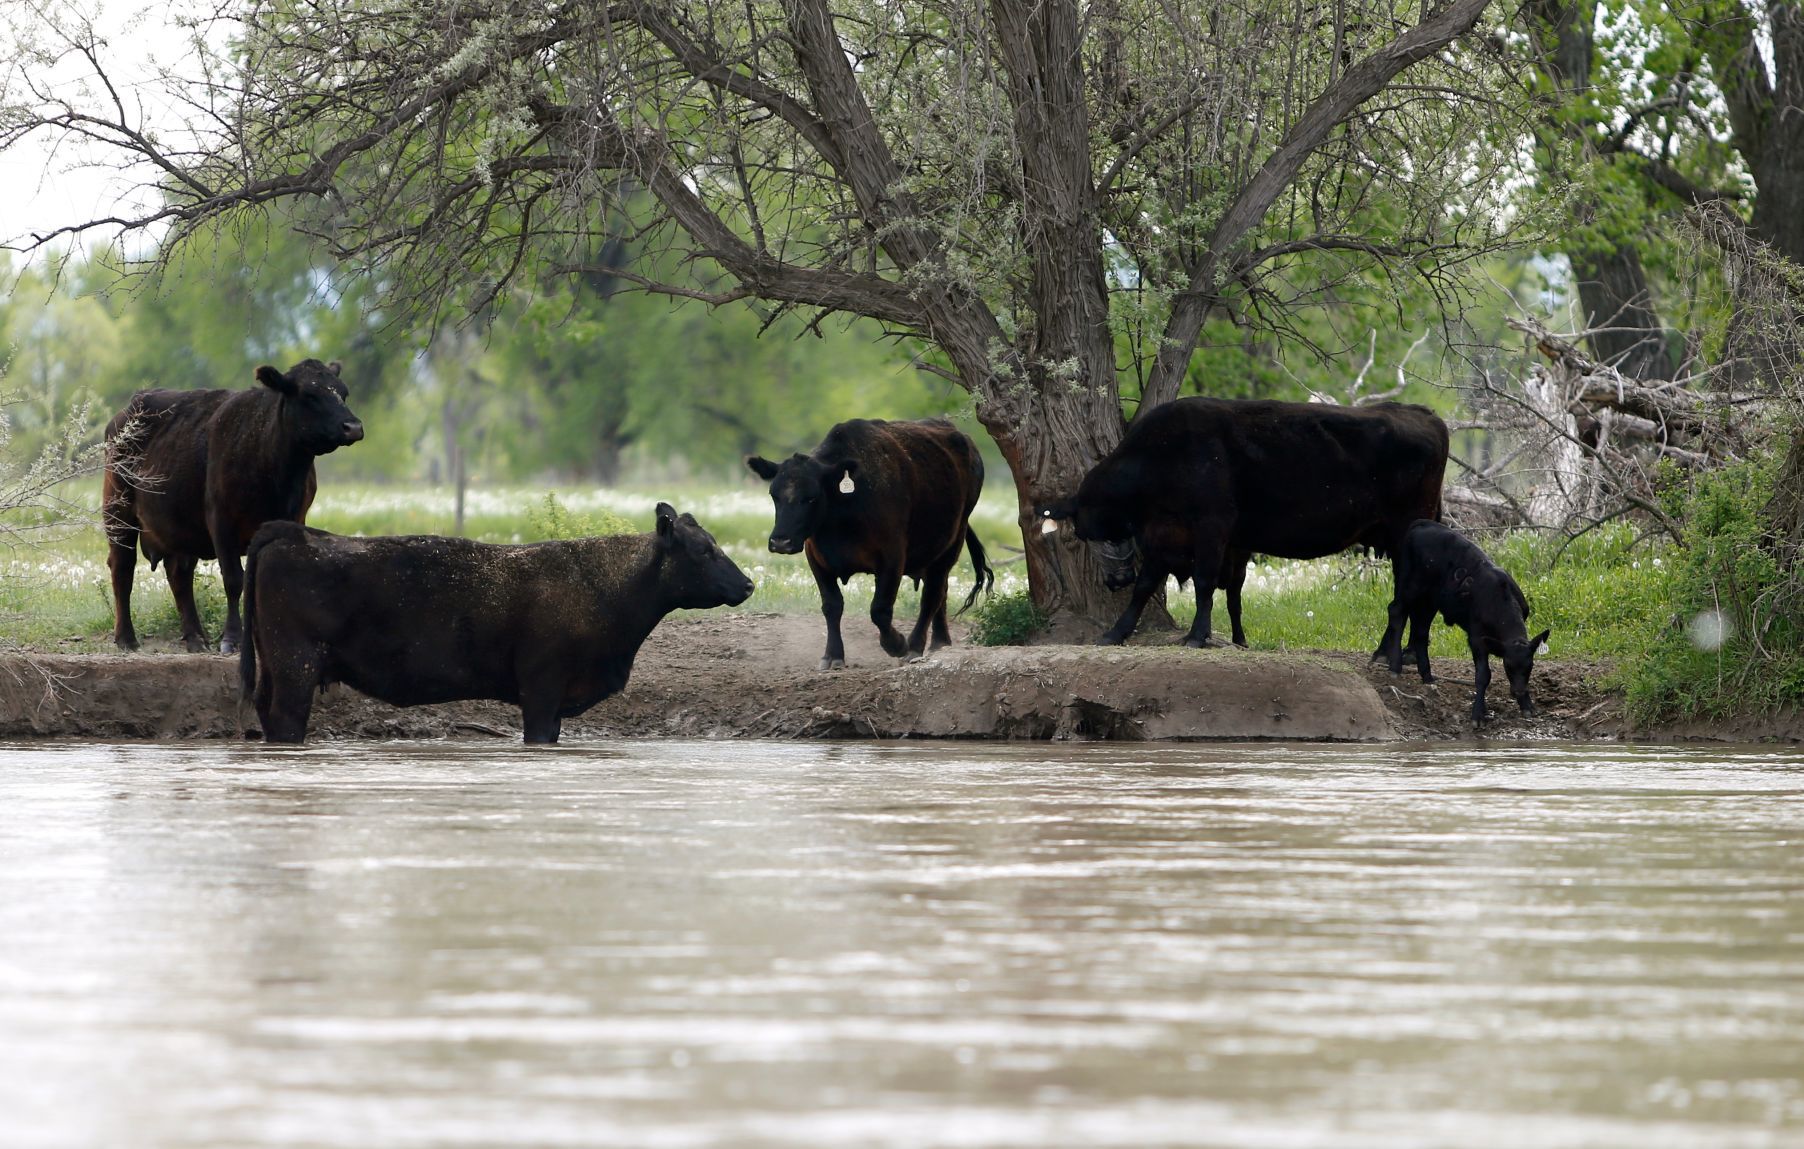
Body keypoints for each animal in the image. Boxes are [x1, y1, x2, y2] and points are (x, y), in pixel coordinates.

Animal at [103, 358, 364, 663]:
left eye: (343, 393)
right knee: (123, 566)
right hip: (118, 509)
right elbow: (234, 580)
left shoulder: (293, 518)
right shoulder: (221, 521)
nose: (353, 426)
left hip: (181, 524)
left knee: (179, 573)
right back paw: (126, 638)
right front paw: (232, 639)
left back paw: (195, 637)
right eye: (309, 394)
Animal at [238, 505, 754, 743]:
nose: (749, 584)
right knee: (287, 719)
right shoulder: (542, 690)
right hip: (296, 665)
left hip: (275, 663)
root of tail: (293, 531)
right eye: (703, 549)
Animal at [750, 416, 1003, 667]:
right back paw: (939, 643)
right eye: (774, 495)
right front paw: (832, 655)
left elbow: (880, 610)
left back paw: (916, 646)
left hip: (951, 543)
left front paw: (897, 644)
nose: (780, 542)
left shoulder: (892, 558)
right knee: (940, 593)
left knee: (932, 595)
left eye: (811, 497)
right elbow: (832, 605)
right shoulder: (817, 559)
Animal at [1039, 395, 1443, 645]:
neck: (1161, 459)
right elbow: (1145, 586)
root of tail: (1421, 412)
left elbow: (1203, 583)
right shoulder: (1163, 535)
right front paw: (1116, 633)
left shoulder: (1212, 527)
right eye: (1091, 536)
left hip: (1406, 531)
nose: (1116, 578)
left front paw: (1197, 636)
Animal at [1371, 519, 1558, 725]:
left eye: (1530, 666)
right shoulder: (1476, 638)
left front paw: (1526, 705)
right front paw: (1478, 714)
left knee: (1420, 630)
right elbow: (1483, 675)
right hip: (1410, 586)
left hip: (1429, 601)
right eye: (1507, 666)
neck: (1499, 599)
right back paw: (1395, 666)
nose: (1518, 691)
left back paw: (1427, 676)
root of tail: (1422, 524)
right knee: (1397, 612)